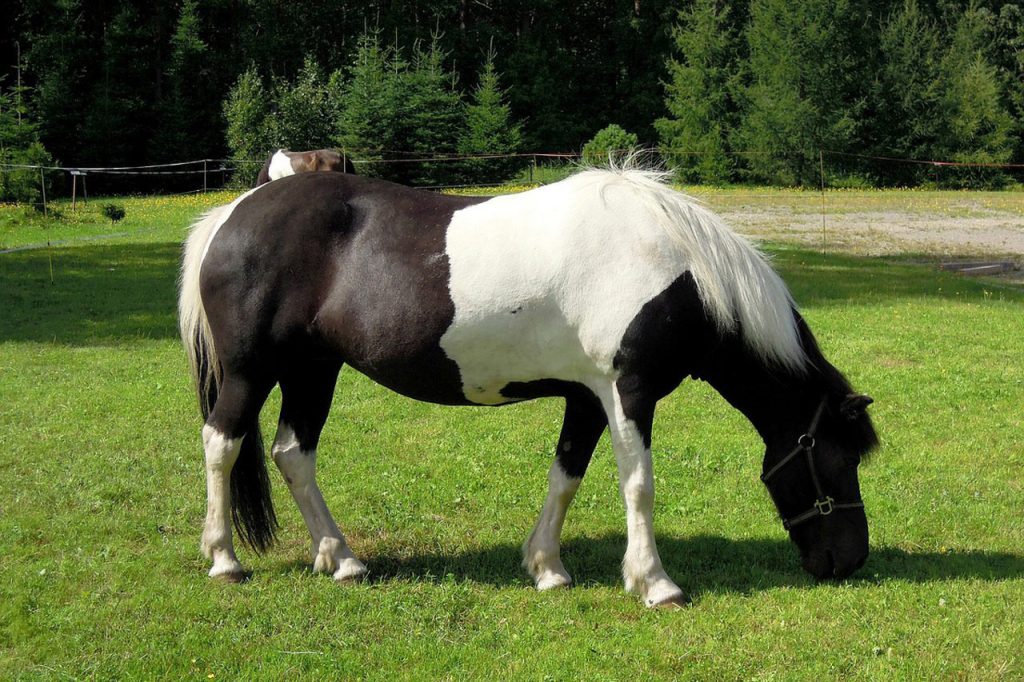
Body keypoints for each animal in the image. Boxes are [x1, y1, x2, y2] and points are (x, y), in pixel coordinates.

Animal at [178, 165, 878, 607]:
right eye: (837, 459)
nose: (849, 562)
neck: (672, 268)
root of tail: (229, 216)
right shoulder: (629, 393)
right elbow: (638, 485)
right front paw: (655, 584)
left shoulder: (587, 397)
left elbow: (566, 477)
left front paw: (547, 569)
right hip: (252, 371)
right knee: (222, 444)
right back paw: (225, 560)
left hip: (313, 370)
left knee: (293, 454)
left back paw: (342, 558)